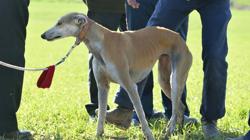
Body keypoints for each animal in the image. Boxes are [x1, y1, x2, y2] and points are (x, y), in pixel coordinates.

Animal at [41, 12, 193, 139]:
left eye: (60, 23)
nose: (42, 35)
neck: (101, 42)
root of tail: (179, 38)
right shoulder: (102, 86)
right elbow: (101, 114)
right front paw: (98, 134)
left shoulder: (130, 85)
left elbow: (140, 113)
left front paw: (149, 135)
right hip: (164, 80)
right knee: (180, 107)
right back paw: (178, 132)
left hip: (176, 79)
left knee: (175, 109)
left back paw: (169, 131)